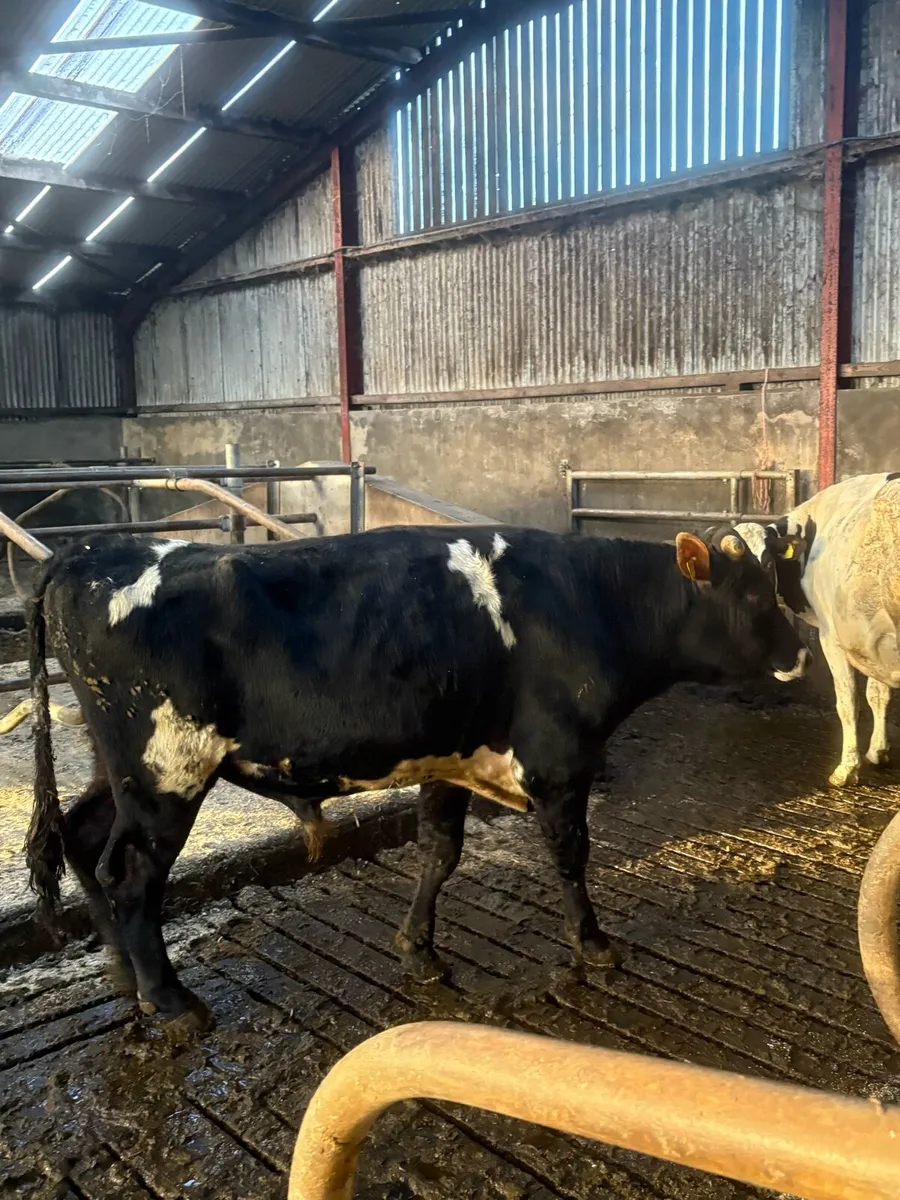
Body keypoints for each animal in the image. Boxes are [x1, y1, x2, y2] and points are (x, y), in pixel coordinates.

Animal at [25, 525, 806, 1034]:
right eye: (755, 599)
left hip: (118, 770)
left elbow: (440, 851)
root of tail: (87, 550)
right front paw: (593, 945)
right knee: (131, 875)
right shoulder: (559, 762)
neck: (589, 604)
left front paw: (419, 949)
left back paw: (122, 971)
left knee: (82, 838)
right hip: (167, 773)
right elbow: (571, 857)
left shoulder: (449, 758)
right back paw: (170, 1000)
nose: (802, 651)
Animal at [736, 472, 900, 788]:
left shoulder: (832, 637)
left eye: (766, 563)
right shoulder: (872, 642)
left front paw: (847, 768)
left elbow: (848, 702)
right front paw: (878, 751)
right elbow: (877, 694)